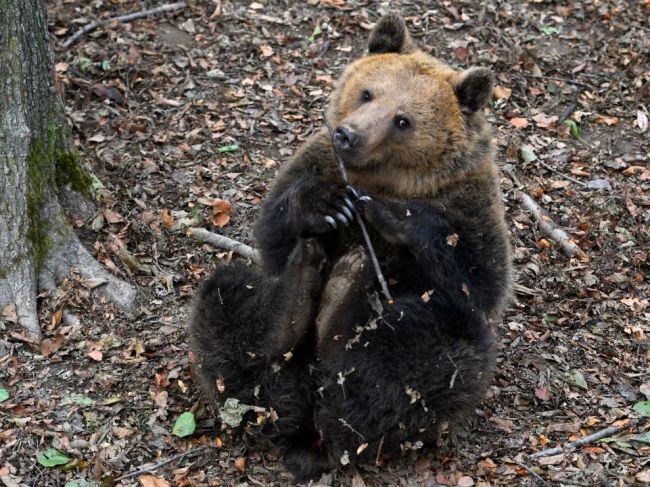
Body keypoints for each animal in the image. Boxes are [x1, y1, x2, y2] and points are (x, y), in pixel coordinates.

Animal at [187, 13, 512, 482]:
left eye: (403, 120)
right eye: (367, 92)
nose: (348, 134)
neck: (383, 177)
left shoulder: (471, 201)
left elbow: (480, 276)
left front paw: (390, 214)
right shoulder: (314, 161)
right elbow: (274, 230)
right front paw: (325, 205)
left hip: (415, 355)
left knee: (428, 352)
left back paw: (342, 305)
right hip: (258, 348)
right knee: (228, 302)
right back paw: (296, 301)